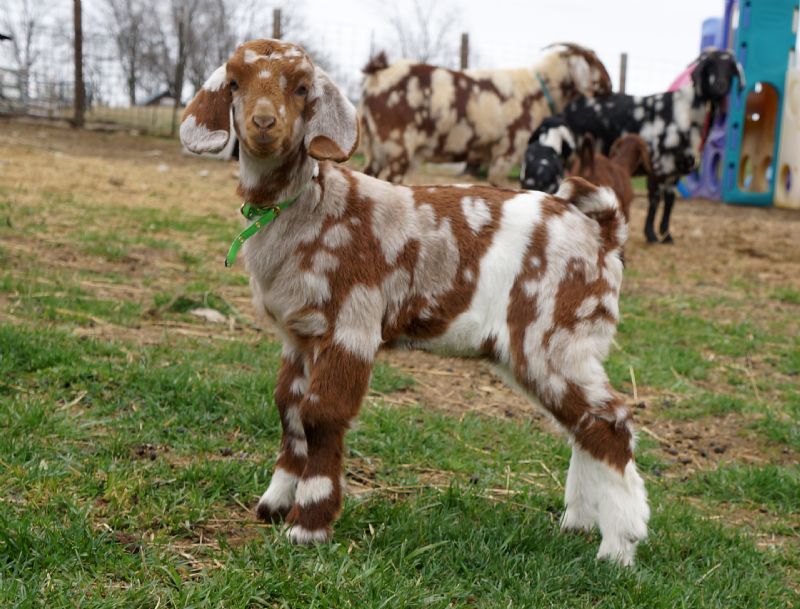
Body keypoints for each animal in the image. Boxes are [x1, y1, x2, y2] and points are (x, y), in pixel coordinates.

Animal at [360, 44, 611, 185]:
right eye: (592, 60)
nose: (609, 85)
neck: (535, 90)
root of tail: (377, 75)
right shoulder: (506, 151)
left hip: (374, 149)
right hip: (397, 147)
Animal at [563, 49, 744, 243]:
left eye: (731, 67)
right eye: (710, 65)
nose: (720, 86)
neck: (686, 113)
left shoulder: (674, 170)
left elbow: (670, 201)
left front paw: (666, 234)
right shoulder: (658, 166)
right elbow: (655, 200)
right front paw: (651, 234)